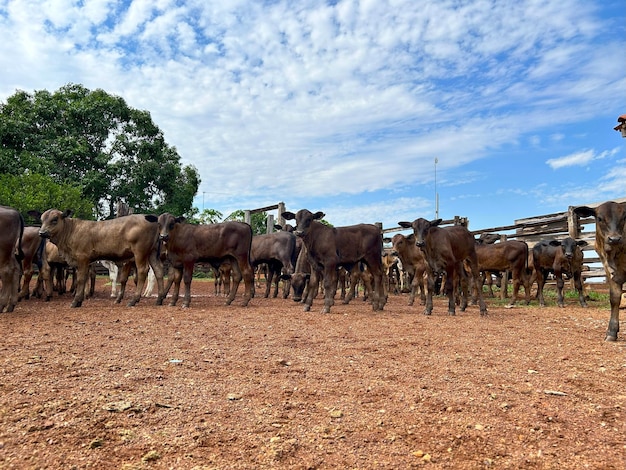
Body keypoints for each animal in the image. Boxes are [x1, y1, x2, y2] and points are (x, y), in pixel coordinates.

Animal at [572, 202, 624, 342]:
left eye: (624, 217)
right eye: (599, 218)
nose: (615, 239)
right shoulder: (609, 271)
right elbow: (615, 298)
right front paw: (612, 332)